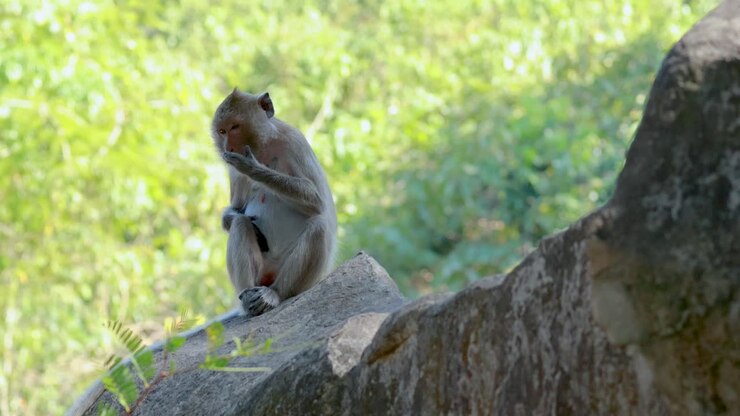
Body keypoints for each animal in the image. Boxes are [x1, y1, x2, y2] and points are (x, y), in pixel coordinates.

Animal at [211, 89, 337, 317]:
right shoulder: (232, 170)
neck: (264, 148)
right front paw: (238, 217)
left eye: (235, 127)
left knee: (318, 227)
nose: (228, 146)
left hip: (305, 278)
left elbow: (317, 201)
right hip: (261, 271)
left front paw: (253, 168)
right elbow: (237, 210)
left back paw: (275, 294)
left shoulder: (294, 141)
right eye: (222, 131)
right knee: (241, 224)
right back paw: (248, 298)